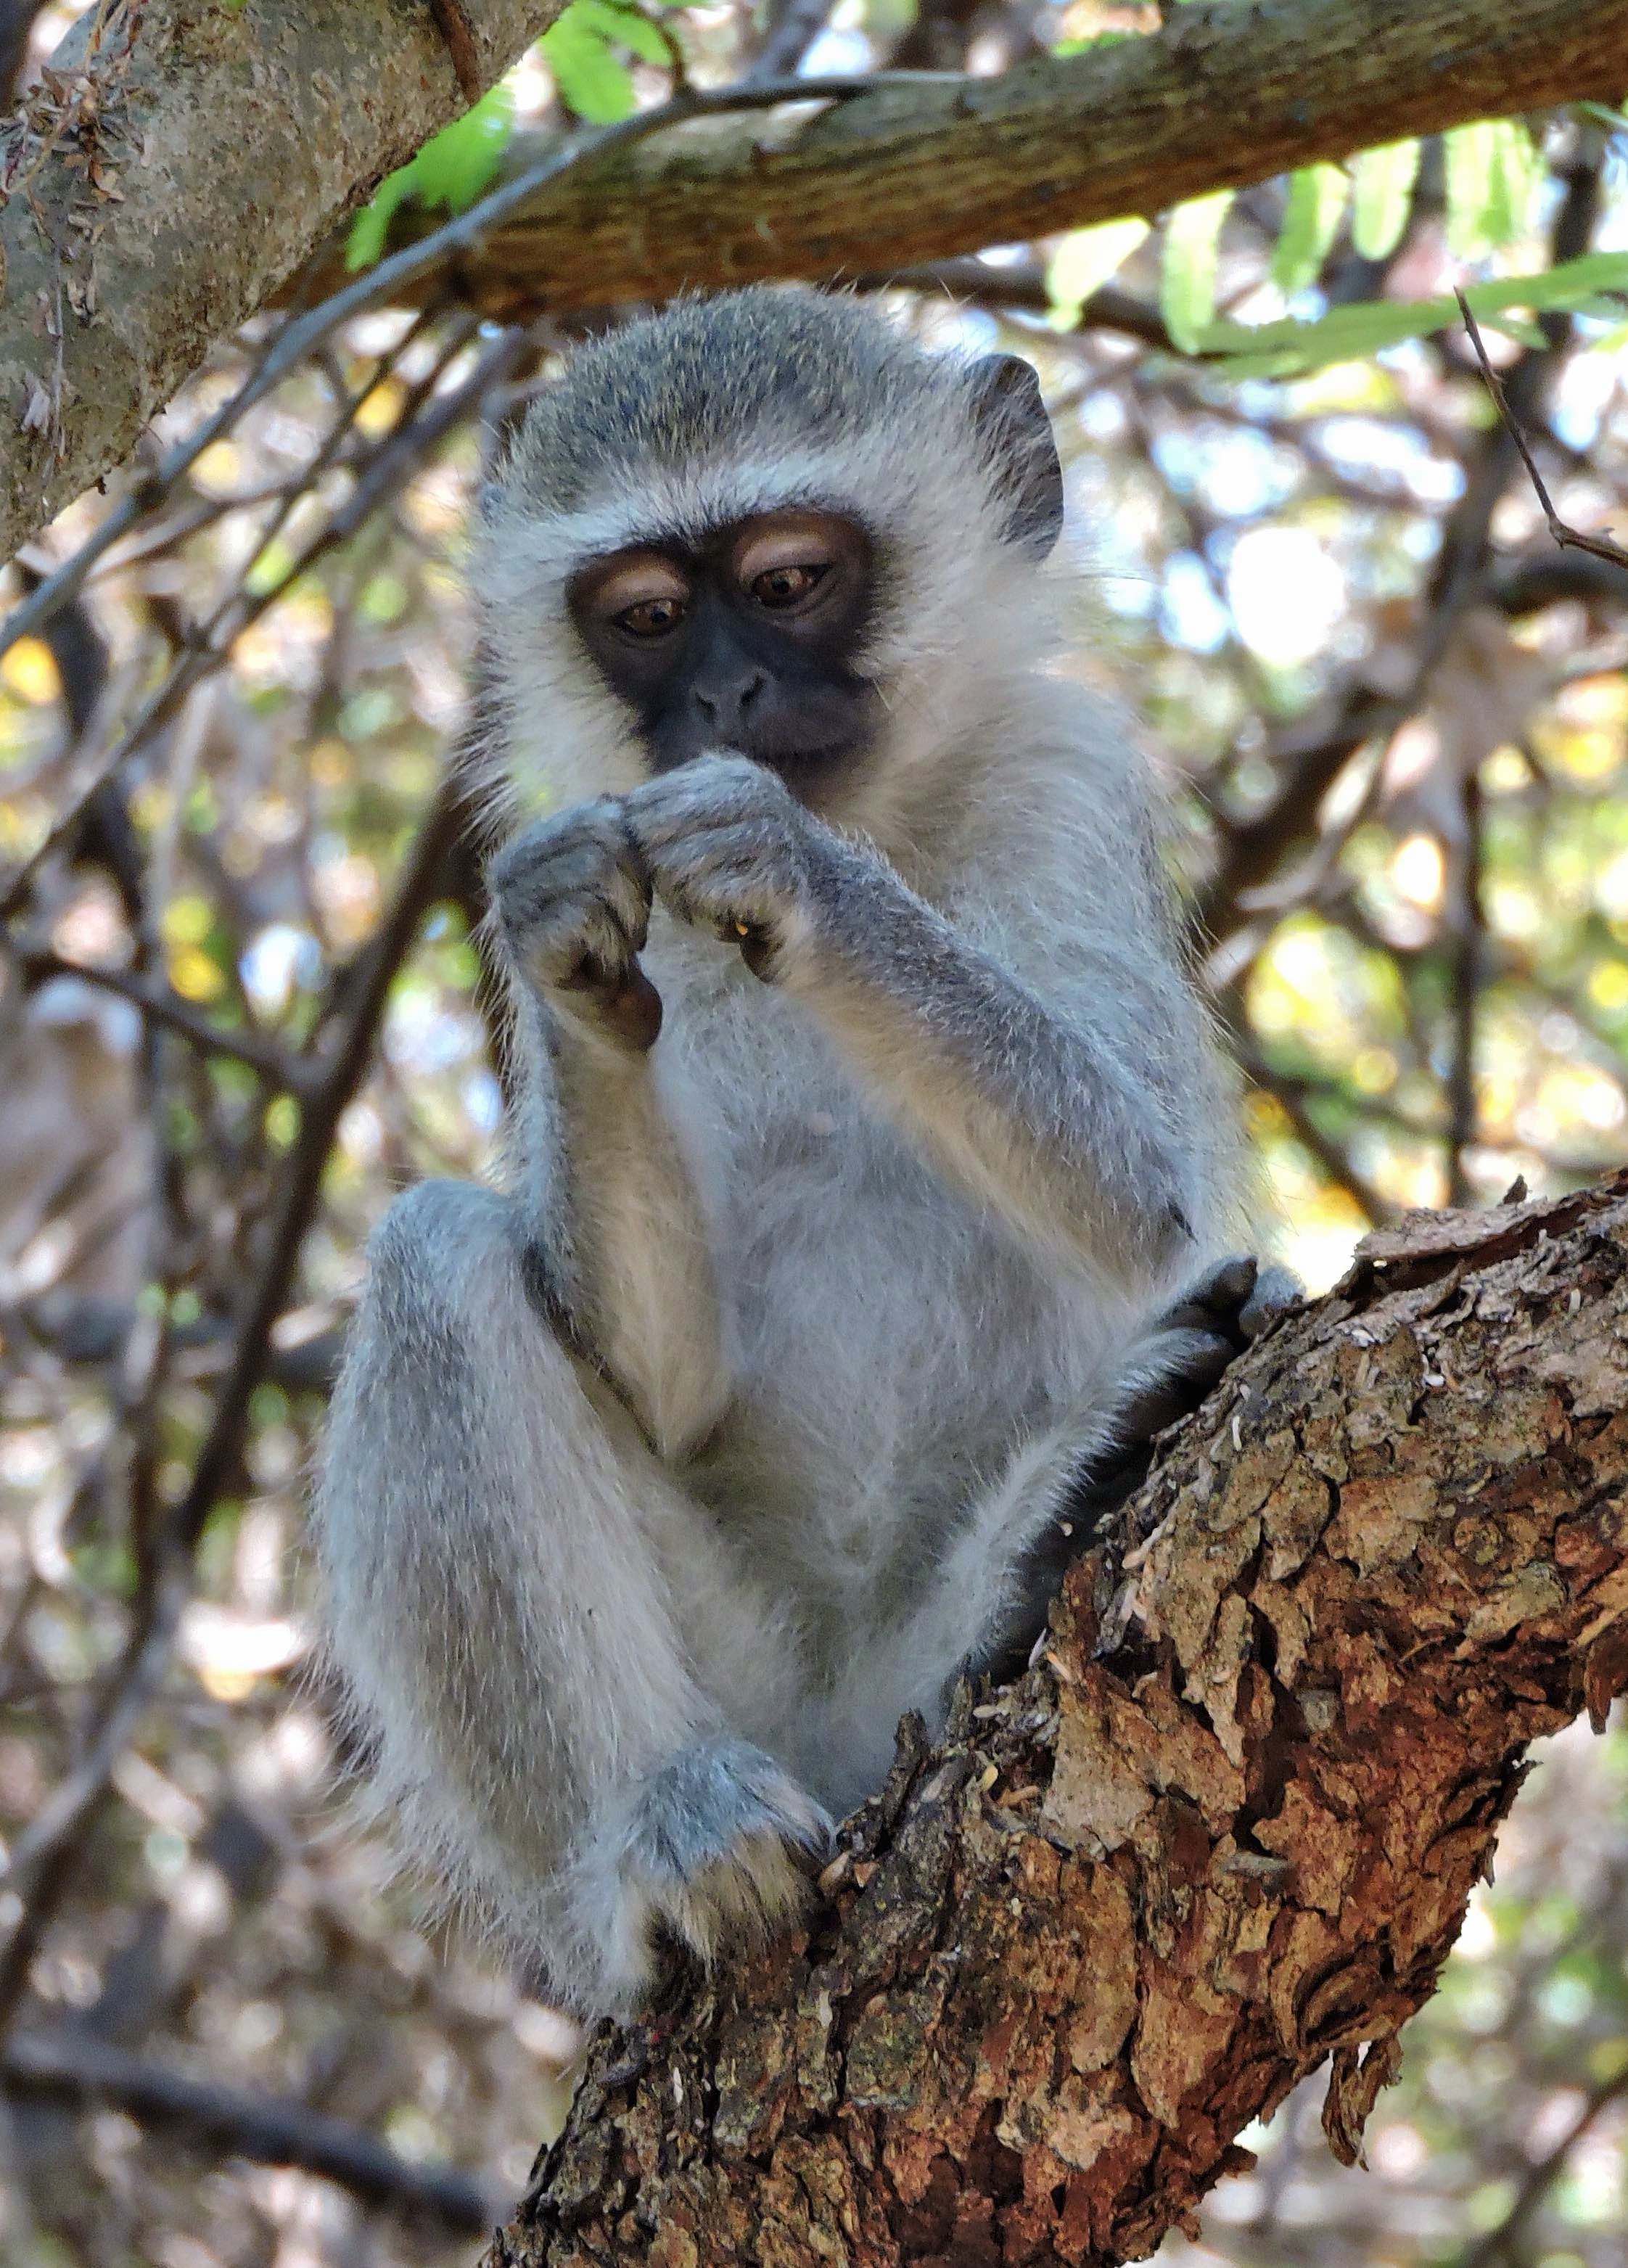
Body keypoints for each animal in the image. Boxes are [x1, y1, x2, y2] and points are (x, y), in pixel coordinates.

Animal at [314, 286, 1286, 2021]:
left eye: (784, 584)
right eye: (643, 617)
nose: (726, 707)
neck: (888, 813)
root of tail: (847, 1740)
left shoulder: (1066, 778)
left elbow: (1149, 1205)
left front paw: (783, 858)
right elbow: (657, 1380)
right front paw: (575, 928)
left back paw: (1043, 1538)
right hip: (746, 1690)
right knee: (434, 1260)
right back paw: (667, 1845)